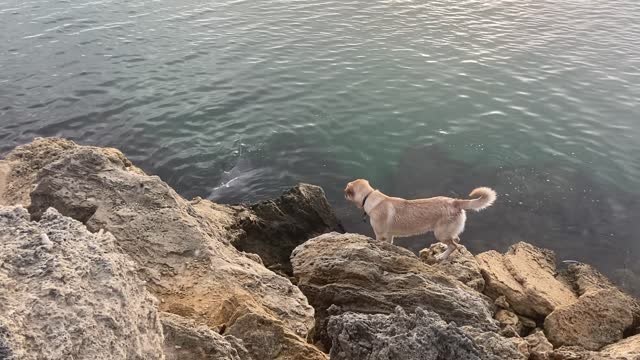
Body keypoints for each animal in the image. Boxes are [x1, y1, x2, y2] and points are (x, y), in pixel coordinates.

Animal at [344, 181, 496, 260]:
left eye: (346, 191)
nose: (343, 193)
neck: (369, 197)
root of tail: (455, 202)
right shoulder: (390, 235)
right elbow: (390, 244)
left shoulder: (379, 235)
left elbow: (378, 243)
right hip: (446, 232)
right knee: (456, 240)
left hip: (440, 233)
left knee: (454, 245)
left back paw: (441, 256)